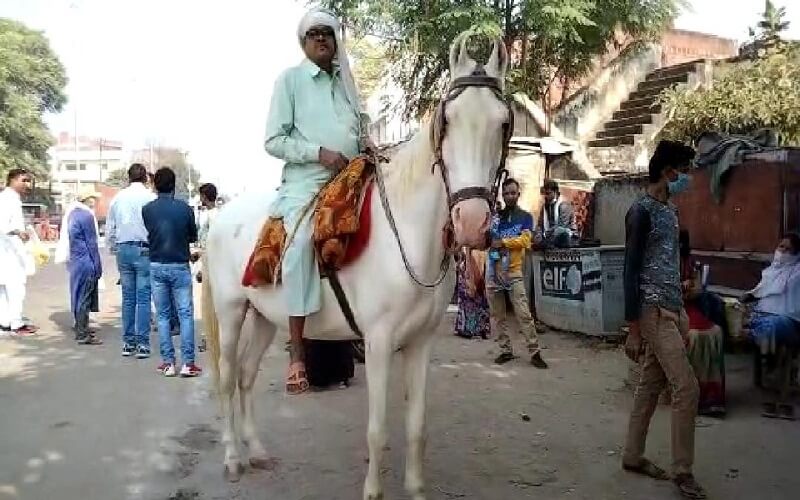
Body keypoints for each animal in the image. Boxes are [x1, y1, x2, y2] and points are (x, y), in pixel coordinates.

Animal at [203, 33, 510, 498]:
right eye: (447, 121)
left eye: (504, 123)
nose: (471, 223)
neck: (407, 234)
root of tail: (220, 218)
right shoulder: (379, 342)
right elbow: (378, 431)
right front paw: (373, 491)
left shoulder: (421, 343)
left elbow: (417, 426)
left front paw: (416, 489)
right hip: (231, 311)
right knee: (225, 378)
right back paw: (233, 459)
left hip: (264, 317)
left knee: (245, 375)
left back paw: (255, 451)